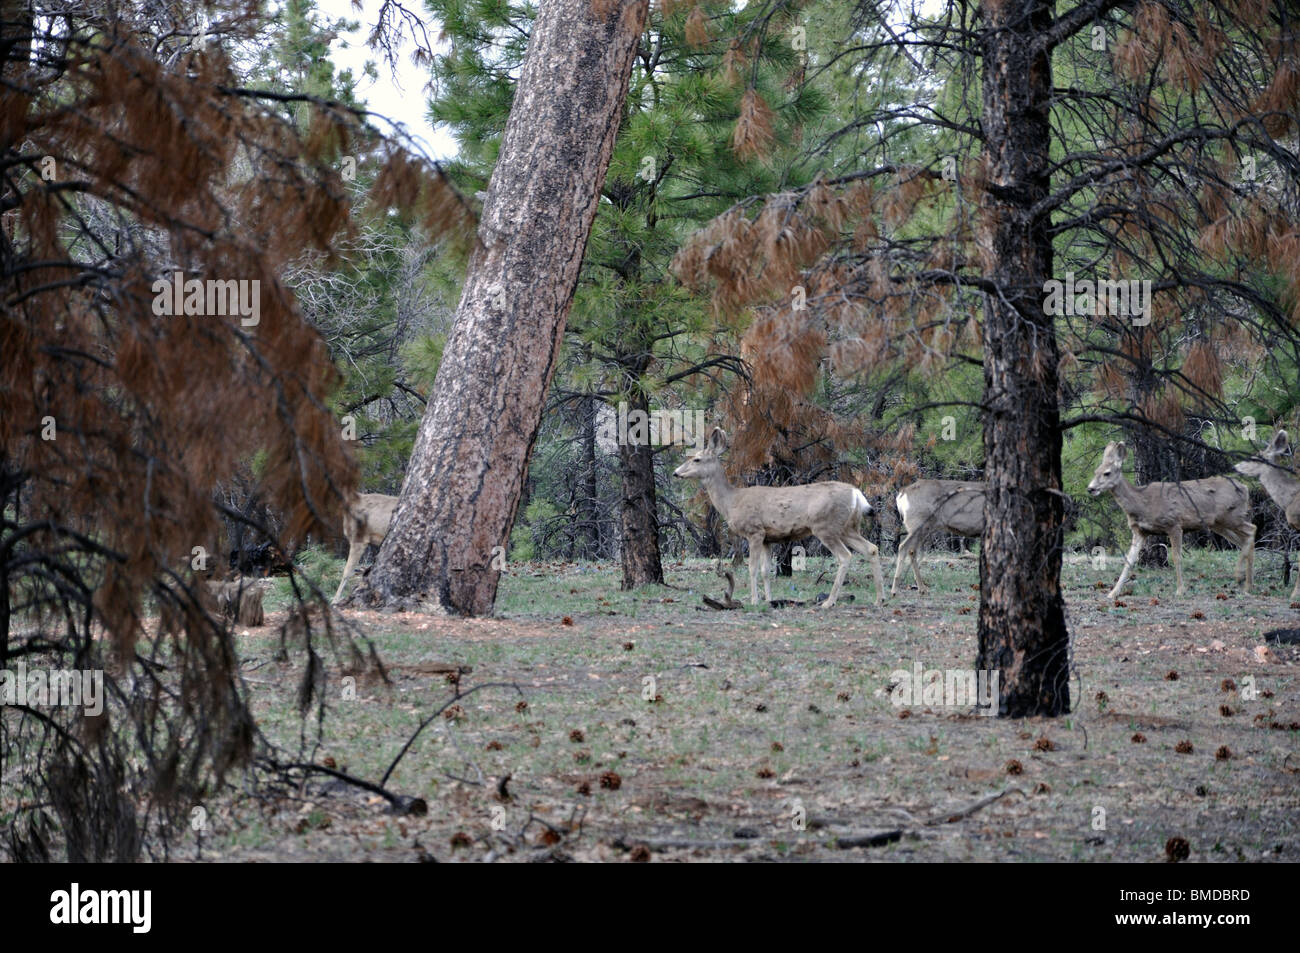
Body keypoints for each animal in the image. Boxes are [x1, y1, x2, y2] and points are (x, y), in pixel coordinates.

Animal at [670, 426, 883, 605]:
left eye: (696, 459)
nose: (675, 472)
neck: (732, 502)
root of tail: (856, 493)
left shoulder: (754, 532)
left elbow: (752, 568)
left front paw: (754, 600)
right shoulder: (768, 538)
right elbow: (766, 571)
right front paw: (769, 600)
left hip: (825, 526)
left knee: (845, 556)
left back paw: (829, 602)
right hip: (848, 527)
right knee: (871, 548)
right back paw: (879, 599)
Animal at [1086, 439, 1258, 595]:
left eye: (1107, 473)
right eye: (1095, 471)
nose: (1090, 488)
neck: (1142, 503)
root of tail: (1245, 488)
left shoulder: (1174, 523)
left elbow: (1177, 557)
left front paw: (1180, 590)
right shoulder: (1139, 531)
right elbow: (1129, 561)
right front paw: (1113, 593)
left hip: (1232, 516)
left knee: (1252, 529)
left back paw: (1239, 576)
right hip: (1219, 523)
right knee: (1244, 540)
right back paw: (1247, 585)